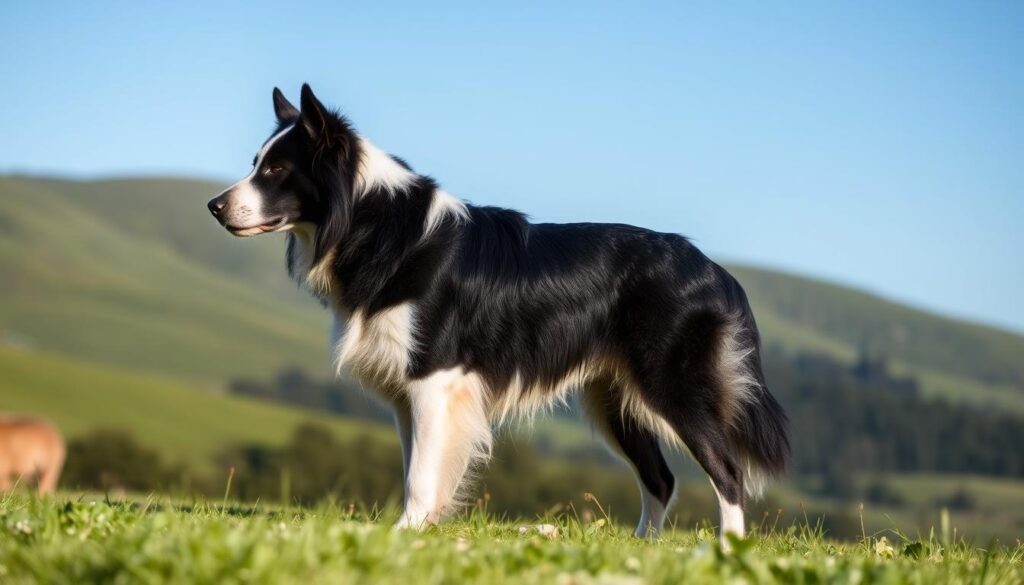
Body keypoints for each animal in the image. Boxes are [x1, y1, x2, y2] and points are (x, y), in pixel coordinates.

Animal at [203, 84, 786, 540]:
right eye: (256, 164)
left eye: (278, 169)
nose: (213, 206)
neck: (374, 221)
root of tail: (716, 270)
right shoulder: (408, 395)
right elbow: (416, 466)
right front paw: (421, 530)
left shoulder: (433, 377)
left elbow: (421, 474)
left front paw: (406, 532)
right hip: (614, 396)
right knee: (660, 478)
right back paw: (644, 547)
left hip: (671, 383)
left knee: (727, 470)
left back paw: (726, 550)